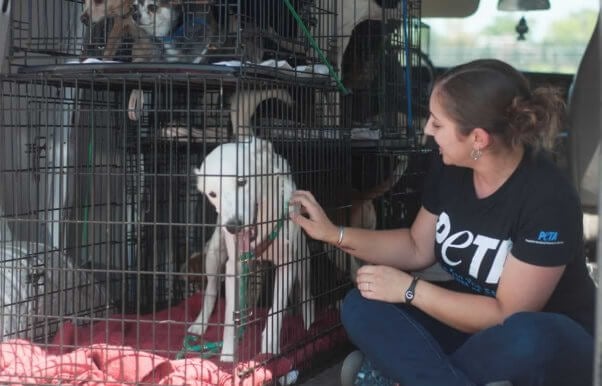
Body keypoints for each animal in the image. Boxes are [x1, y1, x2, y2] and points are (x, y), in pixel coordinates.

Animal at [189, 136, 314, 362]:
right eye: (213, 194)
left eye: (241, 182)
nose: (233, 226)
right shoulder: (235, 266)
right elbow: (230, 317)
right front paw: (227, 355)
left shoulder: (288, 264)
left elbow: (276, 312)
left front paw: (269, 350)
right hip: (214, 254)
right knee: (211, 290)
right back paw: (200, 324)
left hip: (303, 263)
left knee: (308, 297)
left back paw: (310, 327)